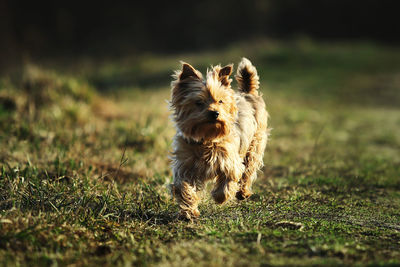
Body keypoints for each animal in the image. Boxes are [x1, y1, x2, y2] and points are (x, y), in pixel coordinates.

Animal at [169, 58, 268, 220]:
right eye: (198, 102)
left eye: (220, 101)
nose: (215, 113)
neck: (207, 138)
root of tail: (247, 93)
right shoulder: (185, 166)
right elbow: (183, 187)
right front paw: (189, 212)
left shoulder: (229, 161)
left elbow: (229, 179)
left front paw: (219, 197)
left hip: (255, 144)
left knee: (248, 170)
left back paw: (243, 192)